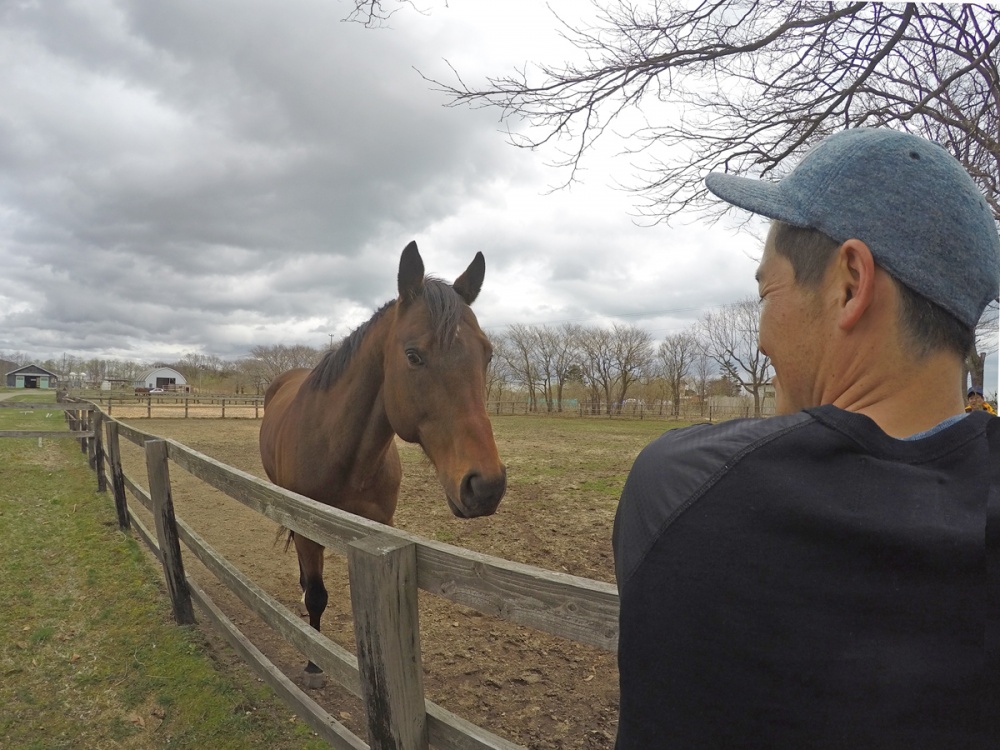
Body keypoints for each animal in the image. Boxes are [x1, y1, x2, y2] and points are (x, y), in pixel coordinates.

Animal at [260, 241, 508, 680]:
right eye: (413, 355)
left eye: (488, 354)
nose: (486, 485)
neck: (341, 455)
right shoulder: (307, 528)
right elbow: (316, 595)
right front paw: (314, 661)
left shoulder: (377, 527)